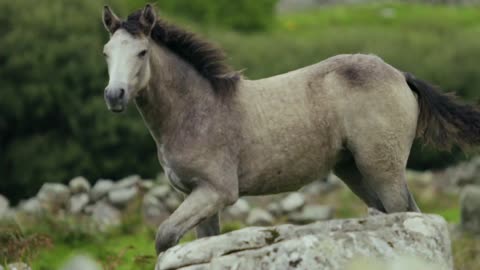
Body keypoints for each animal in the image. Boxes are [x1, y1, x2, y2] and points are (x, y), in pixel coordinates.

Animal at [100, 3, 480, 253]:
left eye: (142, 52)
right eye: (106, 52)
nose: (114, 95)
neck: (197, 110)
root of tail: (400, 74)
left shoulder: (216, 191)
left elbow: (164, 236)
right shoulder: (196, 195)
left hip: (382, 169)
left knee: (407, 217)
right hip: (356, 172)